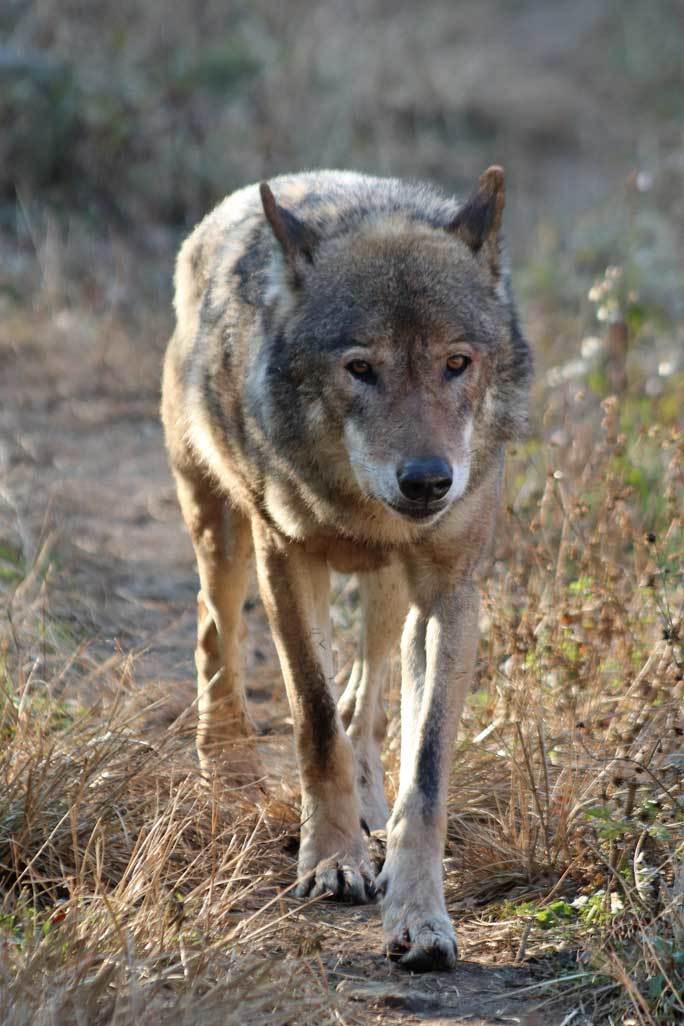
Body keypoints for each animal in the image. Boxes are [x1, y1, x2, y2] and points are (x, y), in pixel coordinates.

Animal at [163, 166, 533, 968]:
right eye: (360, 368)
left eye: (457, 363)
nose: (427, 481)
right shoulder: (286, 558)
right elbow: (314, 721)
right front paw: (331, 862)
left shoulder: (449, 593)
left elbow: (423, 774)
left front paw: (417, 915)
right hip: (223, 531)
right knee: (215, 632)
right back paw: (228, 769)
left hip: (390, 591)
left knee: (367, 696)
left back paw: (371, 810)